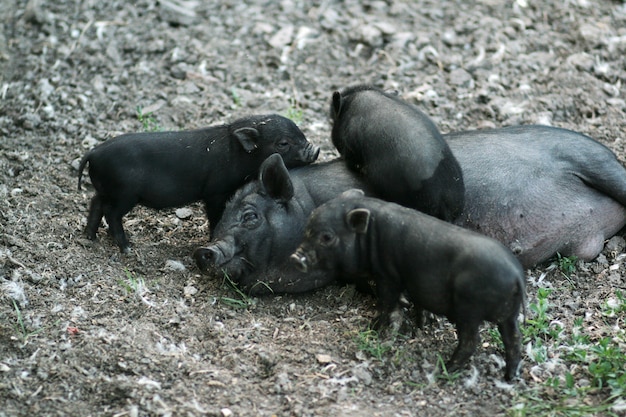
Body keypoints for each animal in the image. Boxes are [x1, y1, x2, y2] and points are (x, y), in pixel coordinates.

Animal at [78, 112, 320, 252]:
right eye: (283, 143)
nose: (315, 149)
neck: (238, 155)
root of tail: (93, 153)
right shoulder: (215, 192)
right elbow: (215, 215)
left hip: (106, 190)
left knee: (95, 203)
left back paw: (90, 237)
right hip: (124, 194)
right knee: (111, 213)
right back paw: (128, 248)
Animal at [290, 188, 524, 380]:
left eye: (327, 237)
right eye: (307, 228)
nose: (295, 258)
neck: (369, 235)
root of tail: (516, 275)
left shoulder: (387, 275)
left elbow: (386, 302)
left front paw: (374, 327)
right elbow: (415, 303)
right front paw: (421, 323)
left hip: (469, 310)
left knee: (471, 340)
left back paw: (445, 369)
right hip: (509, 316)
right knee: (513, 338)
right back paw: (509, 377)